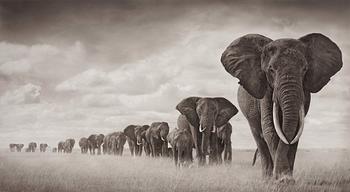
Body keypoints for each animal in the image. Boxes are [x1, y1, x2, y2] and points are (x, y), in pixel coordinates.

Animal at [221, 32, 342, 181]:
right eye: (271, 69)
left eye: (305, 69)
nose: (283, 177)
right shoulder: (265, 89)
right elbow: (270, 129)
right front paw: (281, 180)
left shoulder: (304, 91)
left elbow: (295, 130)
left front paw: (287, 179)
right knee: (258, 136)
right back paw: (266, 179)